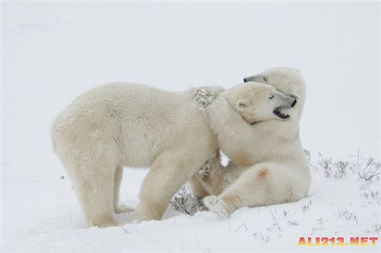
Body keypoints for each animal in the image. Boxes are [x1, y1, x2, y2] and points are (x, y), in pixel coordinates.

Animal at [196, 67, 308, 217]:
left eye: (266, 78)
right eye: (265, 71)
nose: (245, 79)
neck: (290, 117)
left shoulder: (274, 133)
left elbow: (244, 142)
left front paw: (216, 100)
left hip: (282, 182)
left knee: (255, 180)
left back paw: (218, 203)